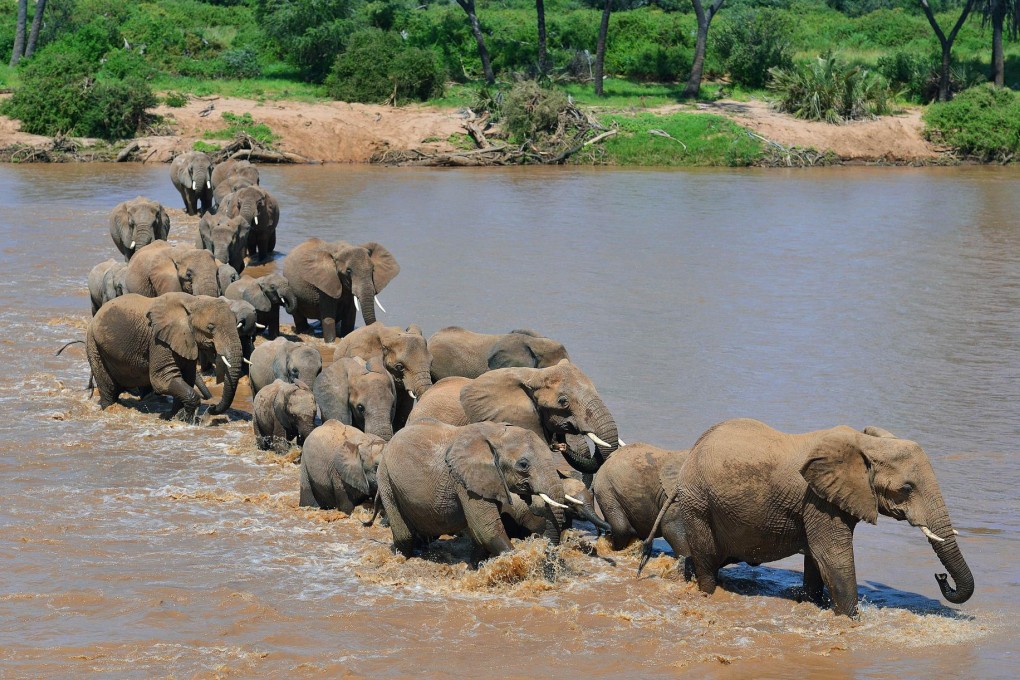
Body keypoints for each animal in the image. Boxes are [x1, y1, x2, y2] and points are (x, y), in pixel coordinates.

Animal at [85, 293, 243, 420]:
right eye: (210, 327)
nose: (212, 407)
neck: (192, 301)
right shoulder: (159, 341)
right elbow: (162, 379)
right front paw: (185, 418)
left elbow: (187, 378)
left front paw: (175, 416)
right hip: (93, 344)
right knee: (108, 387)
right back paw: (109, 408)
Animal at [376, 420, 568, 562]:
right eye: (523, 464)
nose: (542, 544)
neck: (495, 434)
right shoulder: (464, 481)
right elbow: (485, 529)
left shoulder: (491, 481)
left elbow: (479, 532)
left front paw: (478, 564)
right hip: (386, 478)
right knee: (404, 535)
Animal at [643, 419, 974, 619]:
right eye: (907, 488)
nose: (940, 577)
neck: (864, 444)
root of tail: (692, 451)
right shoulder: (818, 500)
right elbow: (833, 557)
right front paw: (851, 620)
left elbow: (817, 559)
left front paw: (814, 603)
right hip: (698, 503)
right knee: (707, 561)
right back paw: (707, 592)